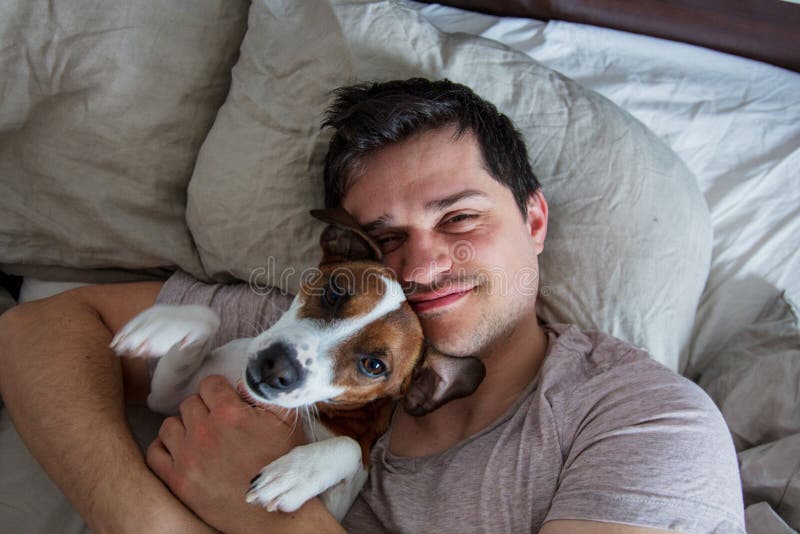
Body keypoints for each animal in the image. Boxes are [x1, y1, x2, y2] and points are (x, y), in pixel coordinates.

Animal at [109, 207, 484, 520]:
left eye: (374, 366)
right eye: (334, 292)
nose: (277, 368)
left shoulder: (339, 500)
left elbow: (349, 447)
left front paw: (295, 474)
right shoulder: (167, 397)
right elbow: (208, 316)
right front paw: (160, 325)